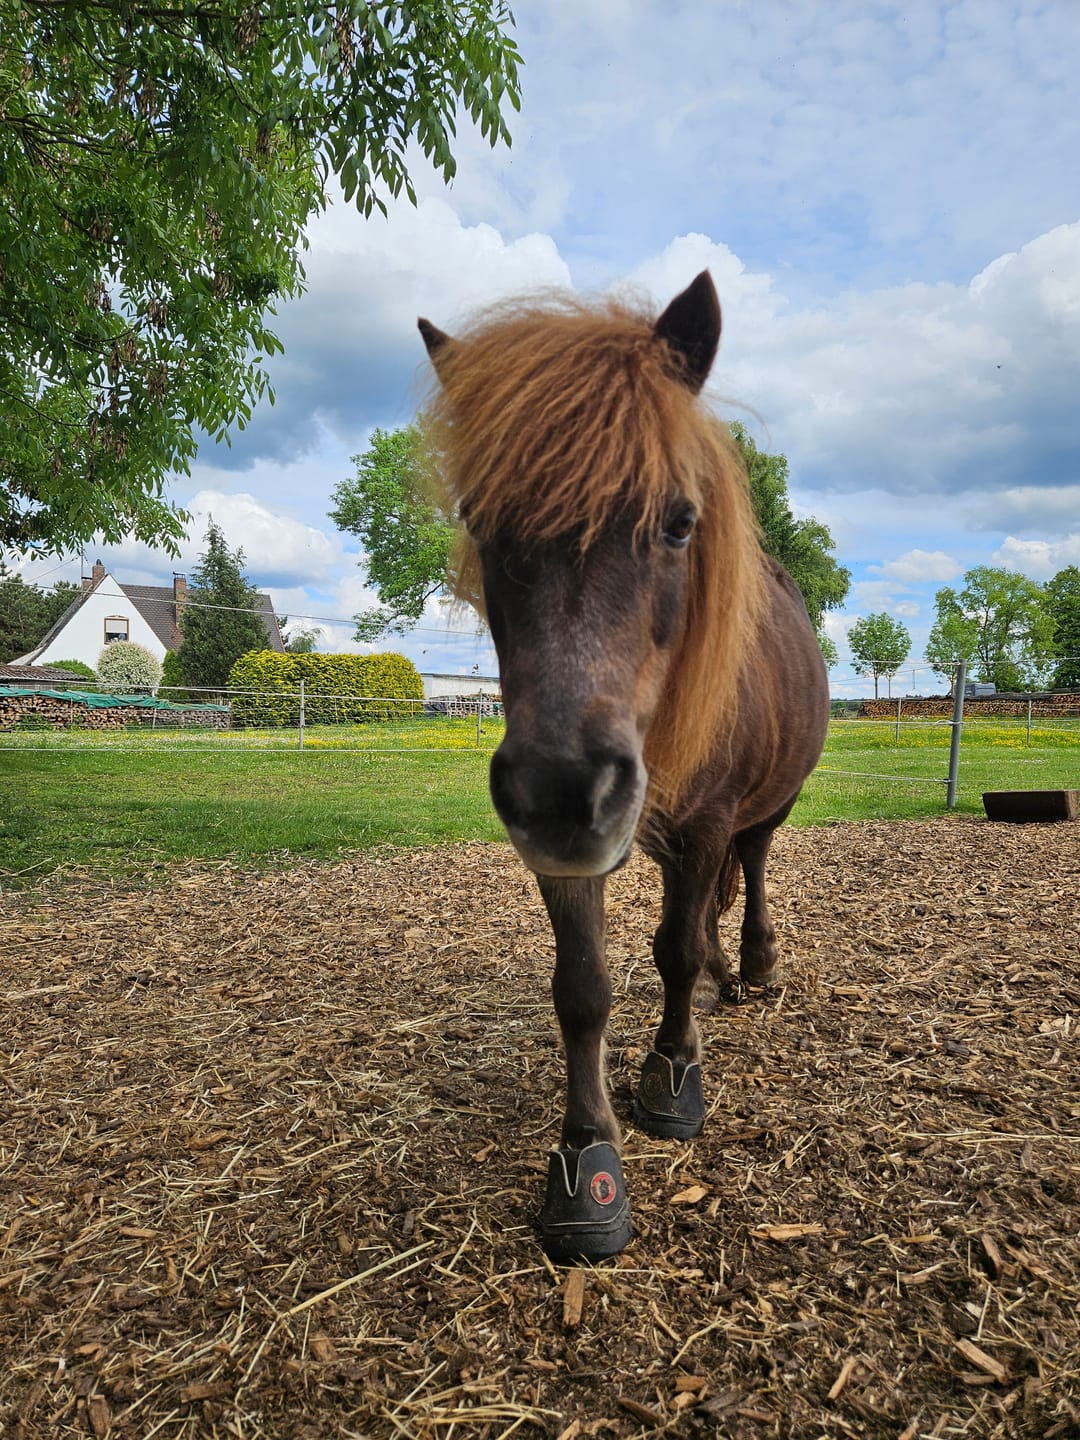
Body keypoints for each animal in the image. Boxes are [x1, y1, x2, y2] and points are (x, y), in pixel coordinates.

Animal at [418, 271, 830, 1262]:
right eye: (480, 523)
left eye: (679, 523)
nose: (562, 790)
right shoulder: (574, 852)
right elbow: (584, 990)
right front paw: (587, 1155)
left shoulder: (708, 817)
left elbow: (673, 947)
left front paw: (674, 1074)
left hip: (761, 808)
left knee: (751, 868)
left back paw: (752, 965)